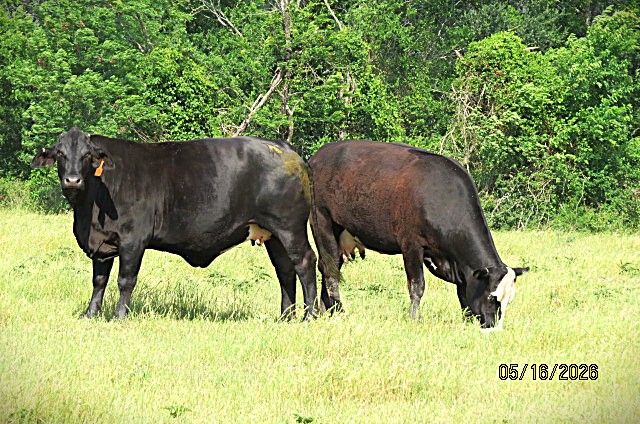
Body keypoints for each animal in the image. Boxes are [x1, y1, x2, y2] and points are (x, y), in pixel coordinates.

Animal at [31, 127, 318, 319]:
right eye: (60, 154)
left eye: (88, 156)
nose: (72, 180)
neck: (89, 210)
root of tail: (284, 147)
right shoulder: (101, 245)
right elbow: (98, 281)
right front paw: (91, 314)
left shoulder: (133, 240)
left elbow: (125, 280)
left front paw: (119, 316)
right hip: (273, 234)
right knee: (285, 271)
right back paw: (285, 317)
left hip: (290, 228)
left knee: (304, 263)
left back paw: (309, 316)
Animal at [309, 140, 528, 330]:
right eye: (492, 297)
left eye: (509, 300)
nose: (493, 327)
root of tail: (319, 155)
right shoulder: (411, 245)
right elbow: (417, 286)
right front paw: (414, 319)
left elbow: (462, 292)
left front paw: (466, 320)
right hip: (323, 222)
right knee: (330, 269)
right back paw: (339, 311)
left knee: (329, 266)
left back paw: (325, 310)